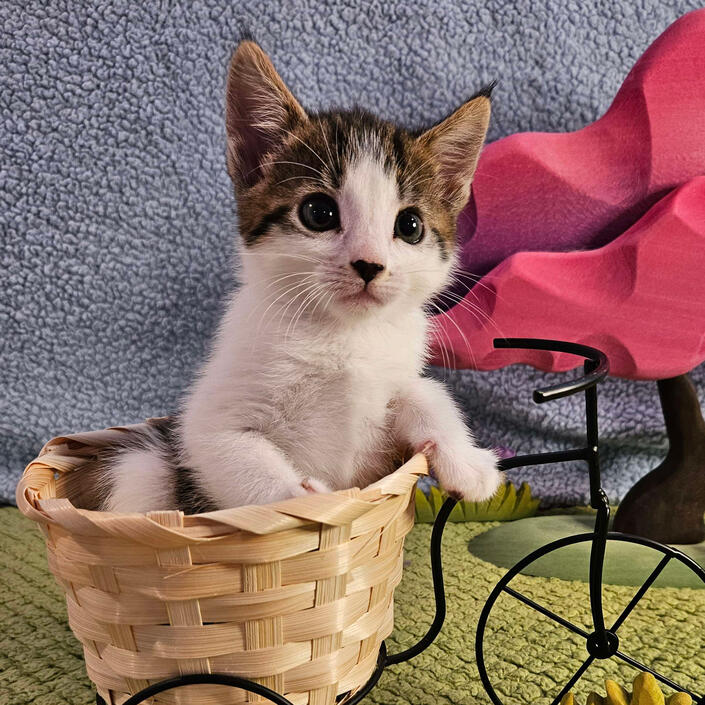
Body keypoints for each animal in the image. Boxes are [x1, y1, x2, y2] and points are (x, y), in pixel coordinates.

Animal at [102, 41, 504, 512]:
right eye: (318, 212)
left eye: (410, 226)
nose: (369, 264)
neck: (345, 336)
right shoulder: (205, 421)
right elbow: (241, 458)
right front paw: (311, 502)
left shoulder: (396, 372)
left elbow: (425, 392)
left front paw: (466, 461)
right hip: (142, 464)